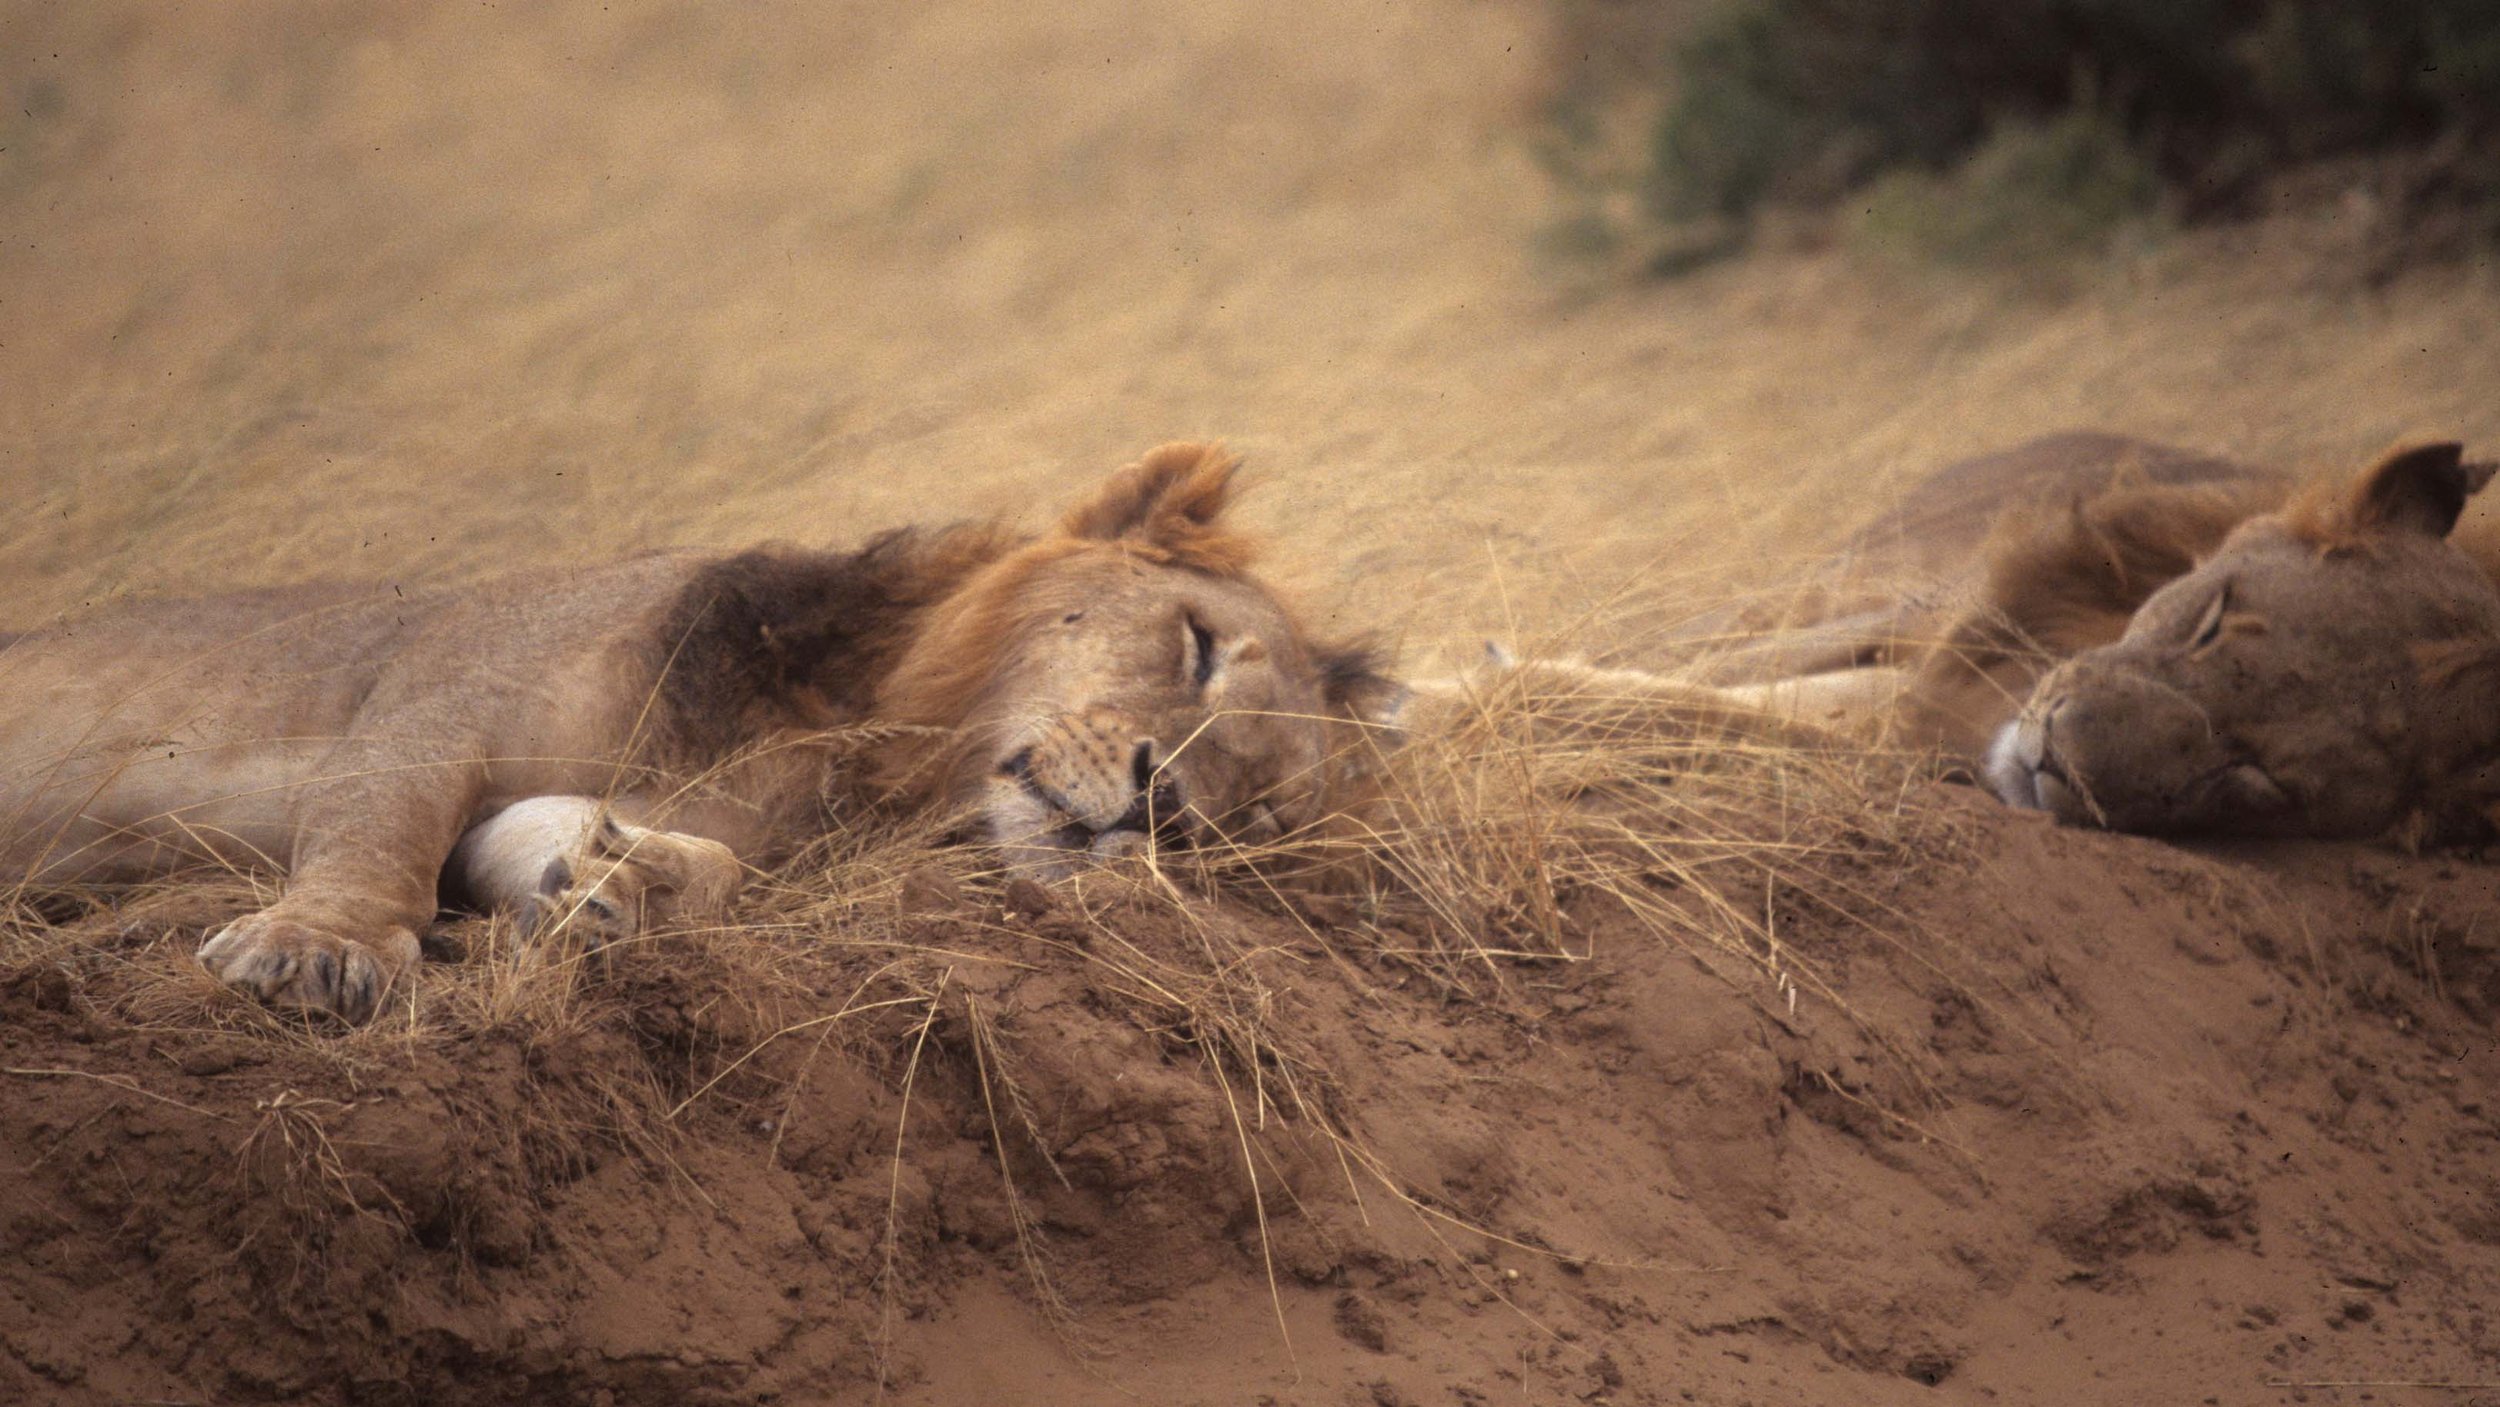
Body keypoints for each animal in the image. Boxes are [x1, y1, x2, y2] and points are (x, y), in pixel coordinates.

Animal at [0, 443, 1399, 1021]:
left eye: (1254, 825)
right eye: (1194, 646)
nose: (1168, 811)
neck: (853, 739)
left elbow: (589, 850)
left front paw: (632, 887)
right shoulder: (436, 685)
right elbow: (377, 830)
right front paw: (312, 952)